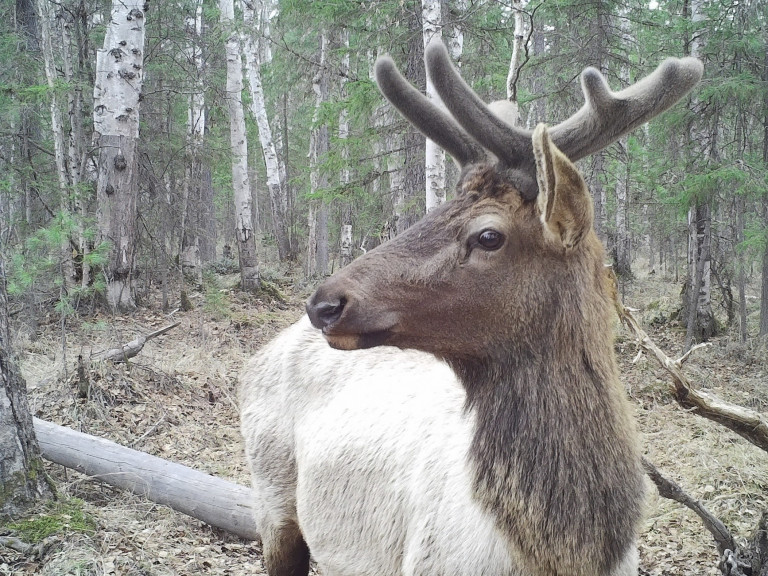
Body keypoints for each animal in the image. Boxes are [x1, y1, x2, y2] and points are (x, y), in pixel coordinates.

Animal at [240, 41, 704, 576]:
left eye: (488, 236)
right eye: (436, 209)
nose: (325, 303)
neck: (566, 556)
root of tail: (263, 351)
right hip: (271, 501)